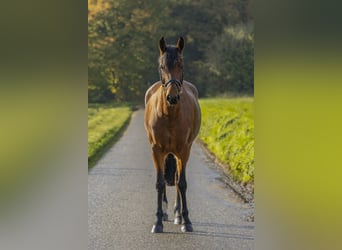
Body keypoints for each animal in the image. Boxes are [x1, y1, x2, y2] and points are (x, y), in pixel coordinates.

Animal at [144, 37, 200, 234]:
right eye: (162, 66)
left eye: (180, 65)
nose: (172, 98)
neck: (169, 114)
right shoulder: (156, 151)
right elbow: (160, 183)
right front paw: (157, 221)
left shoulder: (184, 150)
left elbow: (181, 183)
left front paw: (186, 220)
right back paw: (167, 213)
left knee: (176, 178)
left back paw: (177, 214)